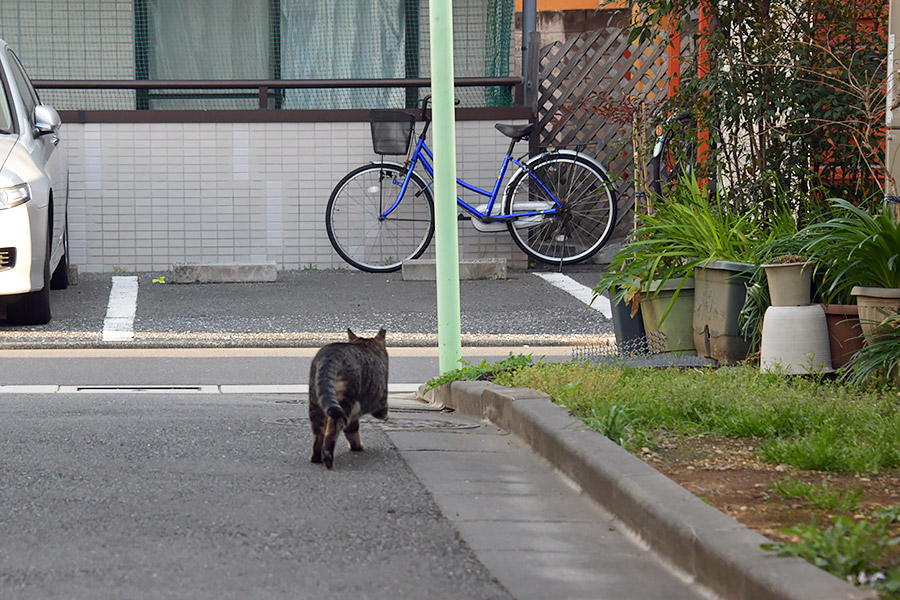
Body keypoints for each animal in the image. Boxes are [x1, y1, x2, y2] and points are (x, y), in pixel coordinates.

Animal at [308, 328, 388, 468]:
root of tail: (331, 354)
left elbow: (352, 431)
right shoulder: (380, 399)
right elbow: (355, 429)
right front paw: (357, 447)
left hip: (315, 403)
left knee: (318, 434)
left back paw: (316, 458)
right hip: (344, 402)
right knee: (331, 432)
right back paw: (328, 459)